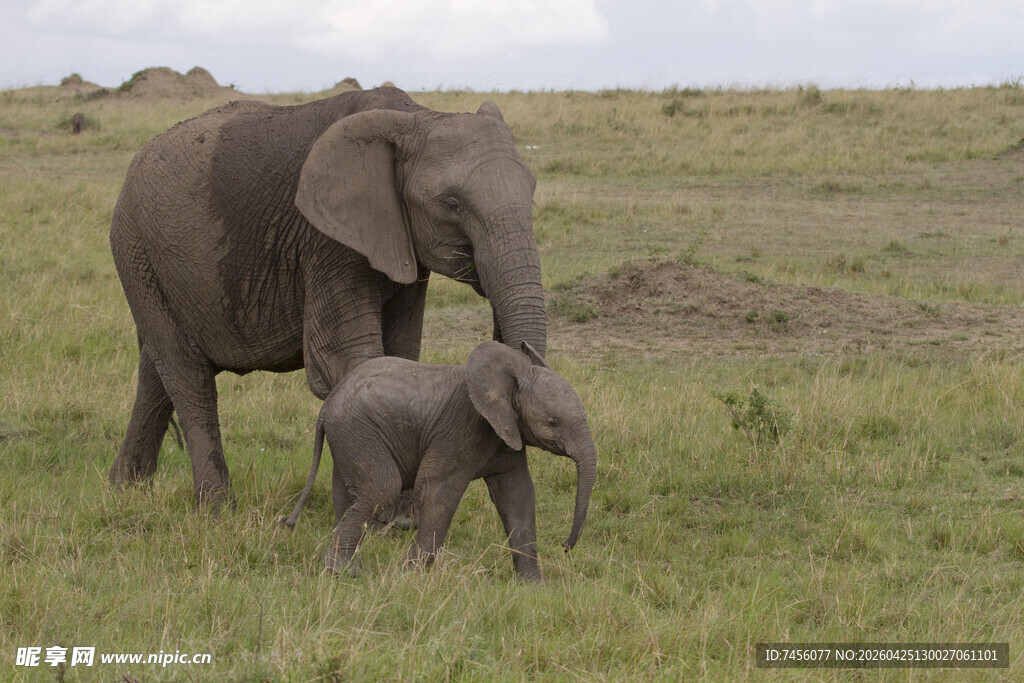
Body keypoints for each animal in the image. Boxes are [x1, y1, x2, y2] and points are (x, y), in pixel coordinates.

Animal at [108, 87, 547, 511]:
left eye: (532, 193)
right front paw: (386, 515)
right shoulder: (327, 240)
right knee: (187, 375)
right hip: (137, 250)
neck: (415, 115)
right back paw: (216, 509)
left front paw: (401, 514)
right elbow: (346, 361)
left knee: (156, 368)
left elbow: (401, 357)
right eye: (452, 205)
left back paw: (125, 489)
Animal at [282, 341, 597, 582]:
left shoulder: (507, 435)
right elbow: (438, 491)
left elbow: (517, 496)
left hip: (349, 438)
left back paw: (347, 568)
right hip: (358, 431)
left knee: (347, 495)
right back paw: (344, 572)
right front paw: (409, 577)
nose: (565, 546)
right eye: (553, 422)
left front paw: (534, 585)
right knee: (382, 488)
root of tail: (326, 406)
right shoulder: (462, 429)